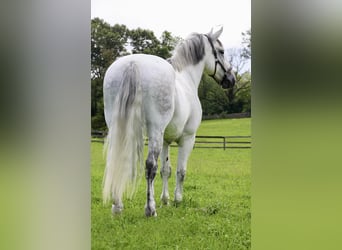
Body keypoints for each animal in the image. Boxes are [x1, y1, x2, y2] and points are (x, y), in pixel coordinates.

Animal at [101, 26, 235, 216]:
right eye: (221, 51)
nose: (231, 80)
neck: (186, 79)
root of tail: (133, 63)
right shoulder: (187, 138)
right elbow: (180, 171)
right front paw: (177, 200)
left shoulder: (166, 140)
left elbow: (165, 170)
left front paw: (165, 200)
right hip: (155, 131)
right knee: (150, 166)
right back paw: (150, 209)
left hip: (118, 128)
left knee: (119, 161)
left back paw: (117, 206)